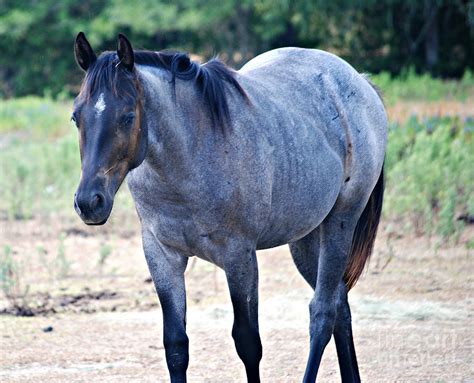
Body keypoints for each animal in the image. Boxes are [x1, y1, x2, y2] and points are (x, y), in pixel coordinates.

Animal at [72, 31, 386, 382]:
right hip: (305, 238)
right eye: (76, 116)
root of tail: (358, 81)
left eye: (127, 117)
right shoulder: (162, 256)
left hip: (340, 223)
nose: (89, 202)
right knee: (340, 306)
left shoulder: (239, 257)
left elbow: (248, 343)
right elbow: (176, 346)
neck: (190, 158)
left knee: (323, 313)